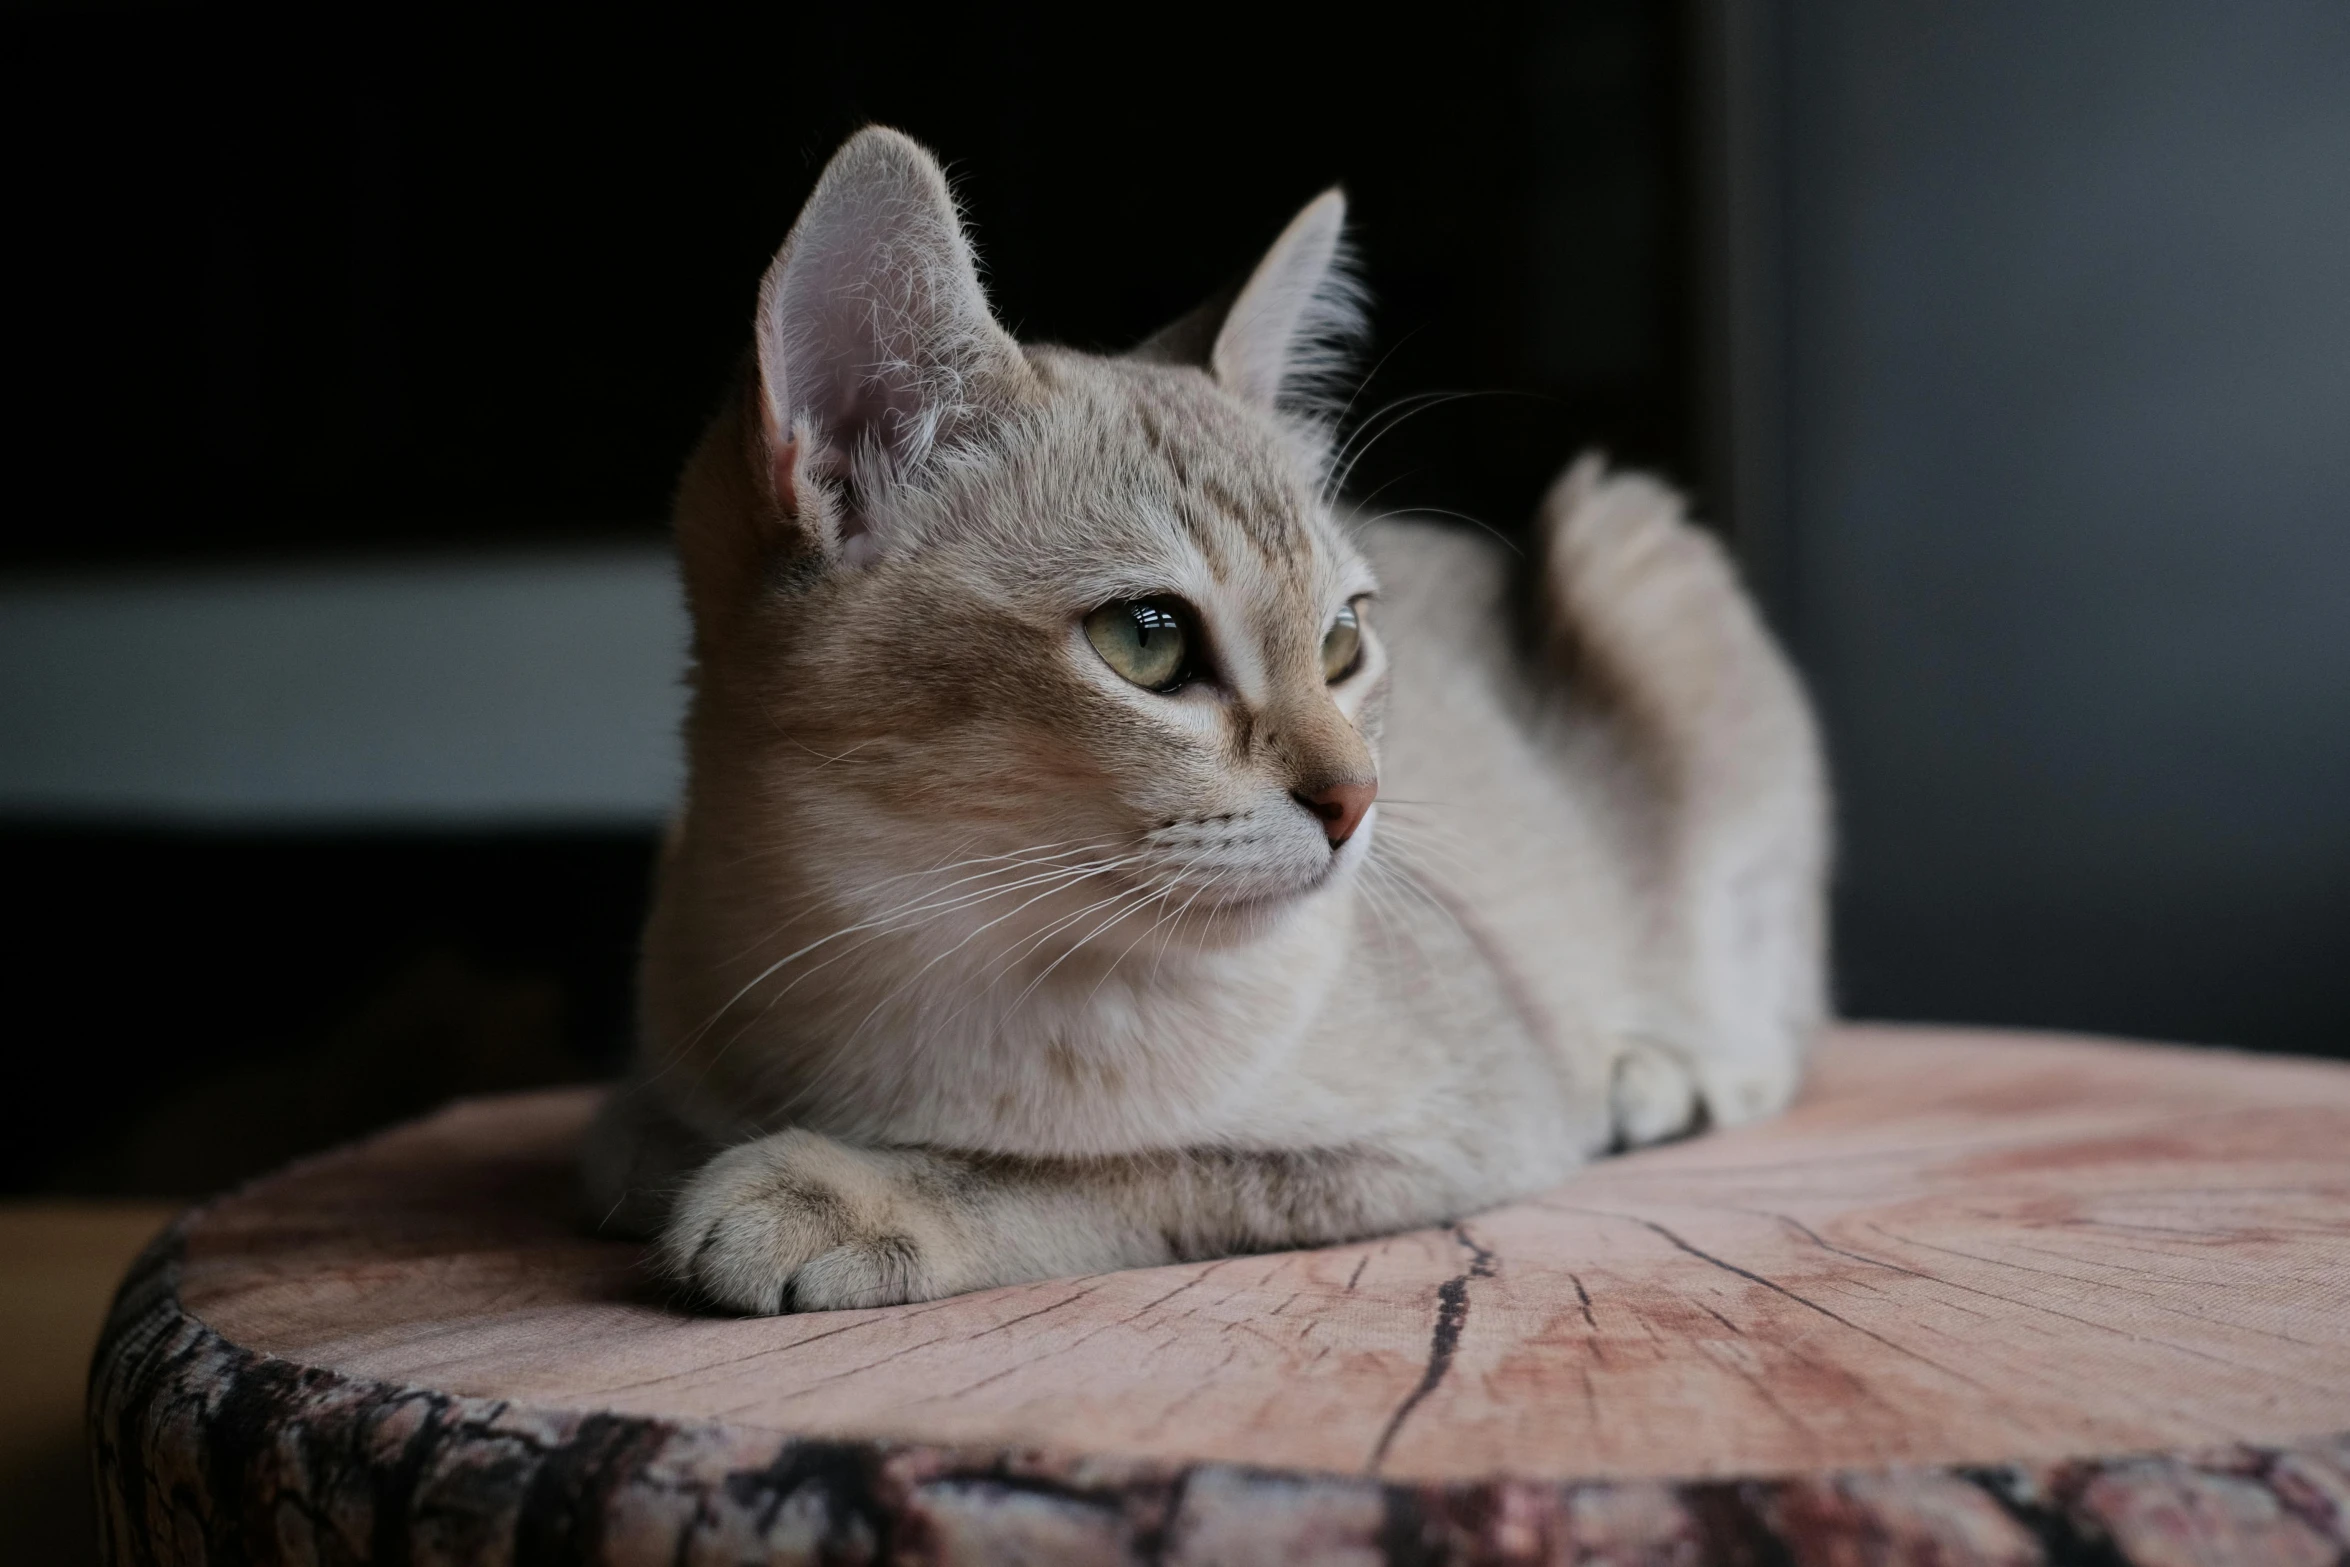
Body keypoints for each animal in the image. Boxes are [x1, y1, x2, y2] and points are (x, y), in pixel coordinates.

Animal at [578, 128, 1823, 1315]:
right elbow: (623, 1143)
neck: (910, 950)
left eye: (1341, 640)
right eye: (1147, 639)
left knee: (1779, 1032)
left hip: (1632, 549)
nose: (1357, 798)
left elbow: (1100, 1168)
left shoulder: (1463, 1124)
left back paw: (1659, 1075)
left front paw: (841, 1192)